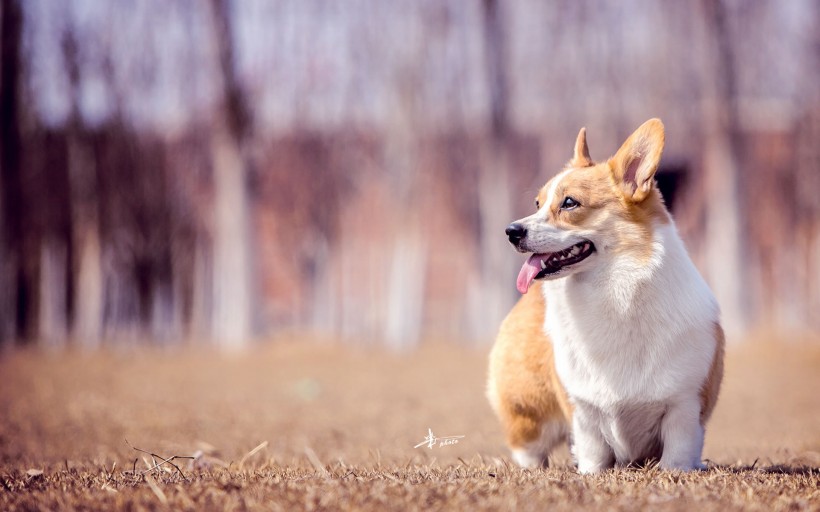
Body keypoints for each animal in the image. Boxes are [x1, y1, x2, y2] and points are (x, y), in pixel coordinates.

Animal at [486, 119, 724, 472]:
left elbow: (677, 452)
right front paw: (590, 474)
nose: (511, 231)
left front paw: (677, 470)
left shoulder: (684, 405)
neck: (613, 291)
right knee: (530, 450)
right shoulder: (583, 409)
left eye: (569, 203)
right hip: (530, 416)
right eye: (537, 204)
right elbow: (593, 450)